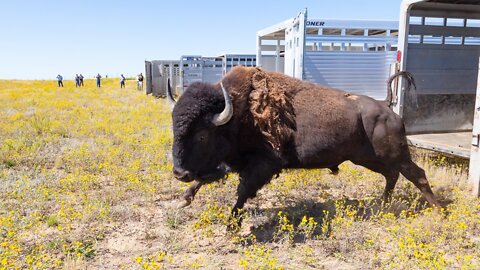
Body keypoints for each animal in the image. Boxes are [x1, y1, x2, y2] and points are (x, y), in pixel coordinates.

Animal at [167, 66, 440, 225]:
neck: (236, 114)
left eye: (202, 135)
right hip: (368, 159)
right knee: (392, 175)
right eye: (174, 129)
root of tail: (386, 107)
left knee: (416, 174)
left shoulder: (263, 166)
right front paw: (183, 200)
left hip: (395, 155)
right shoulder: (230, 163)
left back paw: (439, 209)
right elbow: (204, 180)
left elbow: (242, 191)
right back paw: (381, 204)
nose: (179, 173)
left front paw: (232, 224)